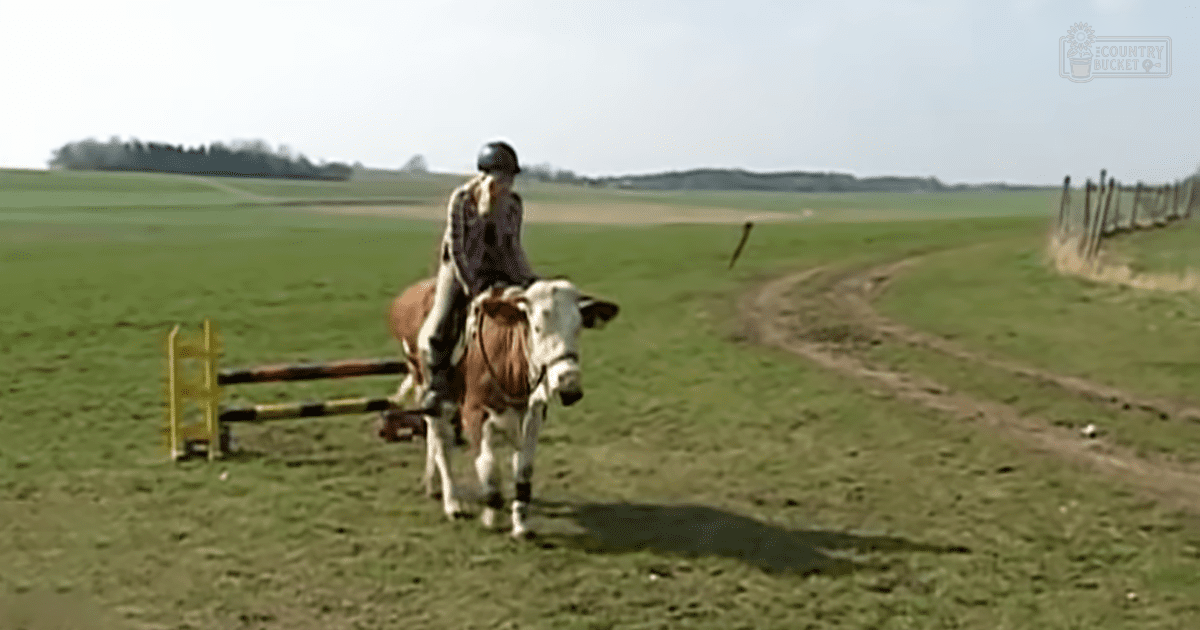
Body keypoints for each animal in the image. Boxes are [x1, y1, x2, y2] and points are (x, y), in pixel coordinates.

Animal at [387, 277, 619, 537]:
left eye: (578, 328)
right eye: (536, 328)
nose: (569, 384)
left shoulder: (533, 412)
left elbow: (524, 466)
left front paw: (521, 523)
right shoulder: (474, 412)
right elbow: (488, 465)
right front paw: (492, 515)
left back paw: (432, 483)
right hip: (428, 387)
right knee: (441, 442)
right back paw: (452, 502)